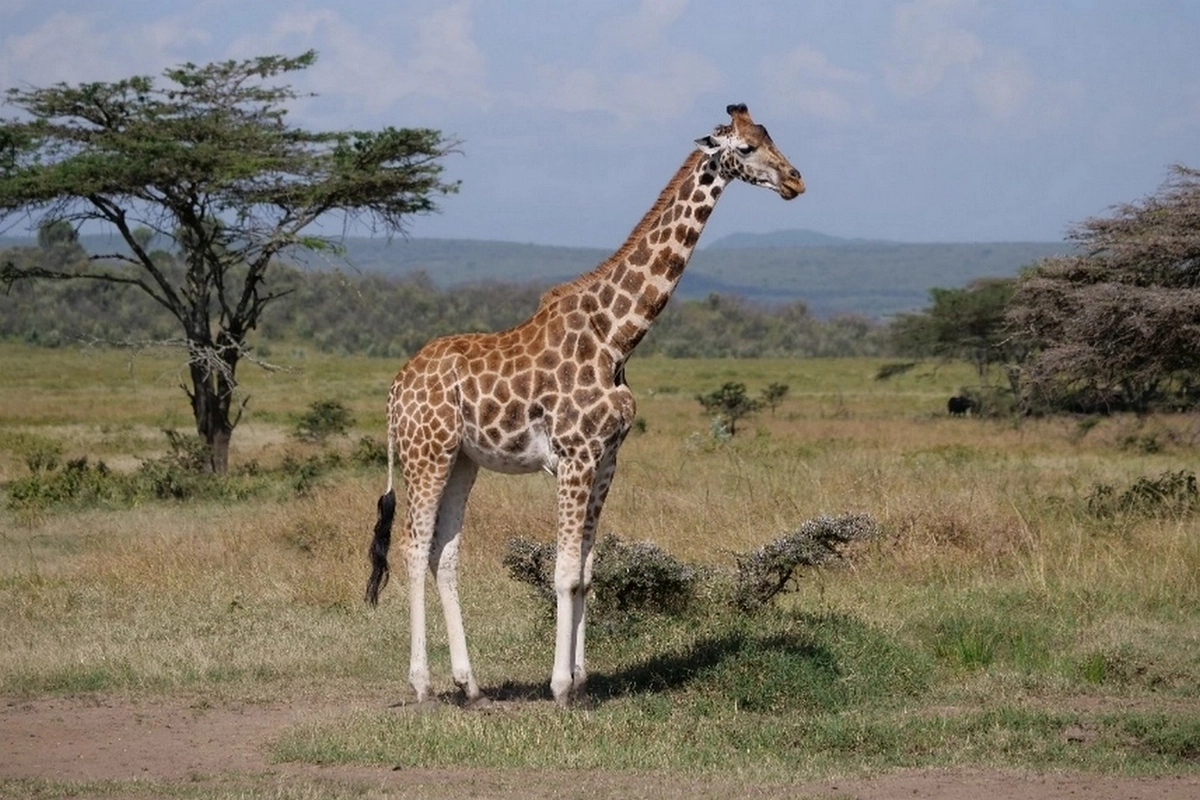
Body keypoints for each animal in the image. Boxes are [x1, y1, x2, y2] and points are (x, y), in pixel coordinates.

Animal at [365, 104, 805, 707]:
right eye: (744, 149)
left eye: (768, 136)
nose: (795, 181)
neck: (618, 335)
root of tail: (395, 389)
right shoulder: (574, 457)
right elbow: (564, 572)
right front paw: (560, 688)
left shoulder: (607, 459)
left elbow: (587, 574)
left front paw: (582, 681)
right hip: (424, 453)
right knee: (411, 548)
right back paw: (423, 686)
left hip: (461, 460)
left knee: (443, 555)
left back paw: (469, 685)